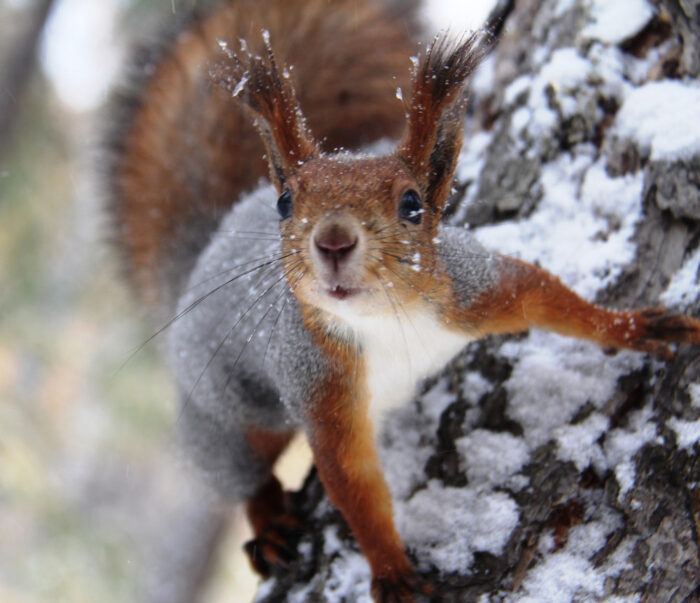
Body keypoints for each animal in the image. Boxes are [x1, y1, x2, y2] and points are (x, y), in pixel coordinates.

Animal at [106, 0, 700, 600]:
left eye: (412, 204)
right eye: (285, 203)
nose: (333, 240)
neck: (387, 320)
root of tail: (204, 255)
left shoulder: (471, 290)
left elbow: (546, 297)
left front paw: (636, 328)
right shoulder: (317, 380)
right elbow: (354, 485)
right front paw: (391, 571)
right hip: (222, 409)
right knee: (239, 470)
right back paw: (269, 522)